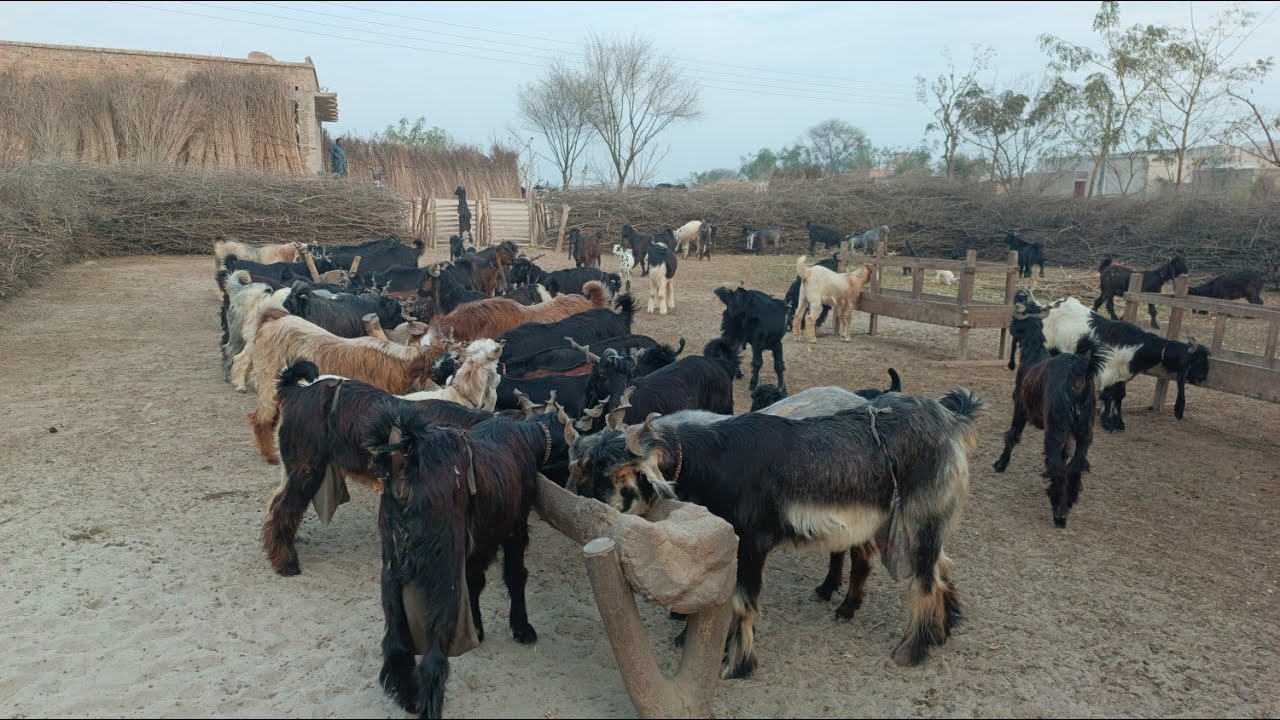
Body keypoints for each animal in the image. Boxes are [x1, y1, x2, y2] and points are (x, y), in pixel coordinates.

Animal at [574, 389, 984, 675]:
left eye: (622, 474)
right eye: (593, 467)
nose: (595, 511)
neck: (714, 461)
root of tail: (952, 420)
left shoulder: (752, 542)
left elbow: (743, 600)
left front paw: (737, 663)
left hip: (923, 517)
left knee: (926, 579)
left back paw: (912, 650)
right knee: (940, 567)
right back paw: (941, 629)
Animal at [993, 304, 1108, 528]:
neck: (1035, 353)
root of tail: (1078, 371)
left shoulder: (1020, 408)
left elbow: (1012, 435)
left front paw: (1001, 463)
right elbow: (1066, 457)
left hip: (1054, 430)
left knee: (1058, 468)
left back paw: (1059, 512)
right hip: (1085, 432)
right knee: (1074, 466)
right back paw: (1068, 499)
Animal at [1038, 296, 1210, 431]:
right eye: (1197, 360)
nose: (1203, 377)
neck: (1138, 346)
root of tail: (1049, 306)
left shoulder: (1123, 375)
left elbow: (1119, 396)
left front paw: (1118, 423)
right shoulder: (1110, 371)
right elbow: (1108, 395)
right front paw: (1107, 423)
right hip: (1050, 345)